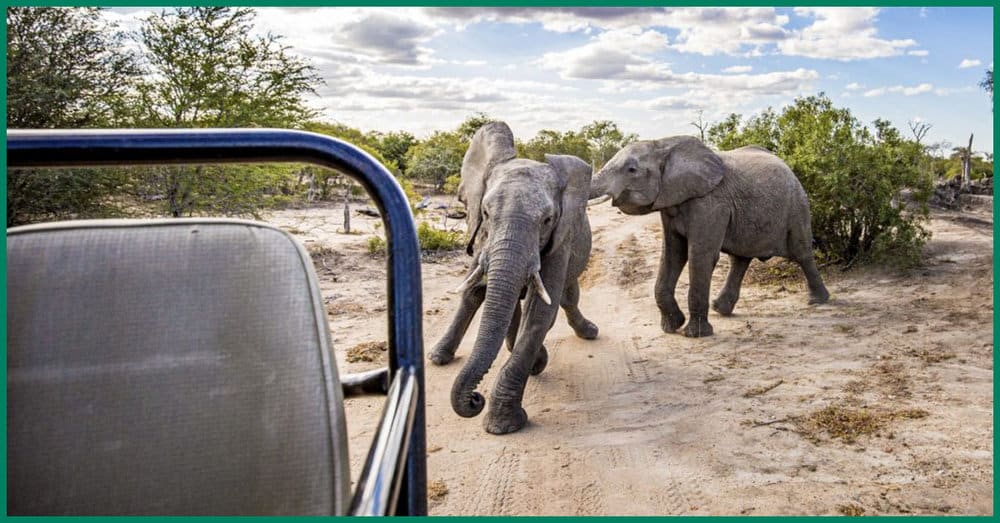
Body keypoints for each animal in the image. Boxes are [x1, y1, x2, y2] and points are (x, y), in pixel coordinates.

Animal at [429, 121, 598, 434]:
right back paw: (439, 356)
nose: (475, 398)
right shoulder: (484, 236)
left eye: (547, 220)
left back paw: (587, 333)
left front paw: (503, 424)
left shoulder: (561, 240)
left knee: (568, 296)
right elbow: (477, 291)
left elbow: (539, 312)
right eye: (485, 212)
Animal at [590, 136, 829, 337]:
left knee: (802, 253)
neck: (664, 145)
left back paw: (819, 301)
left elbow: (700, 257)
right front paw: (672, 327)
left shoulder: (710, 203)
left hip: (797, 204)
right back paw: (720, 309)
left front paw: (695, 334)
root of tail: (787, 165)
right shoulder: (671, 203)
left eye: (631, 170)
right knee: (740, 259)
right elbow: (673, 255)